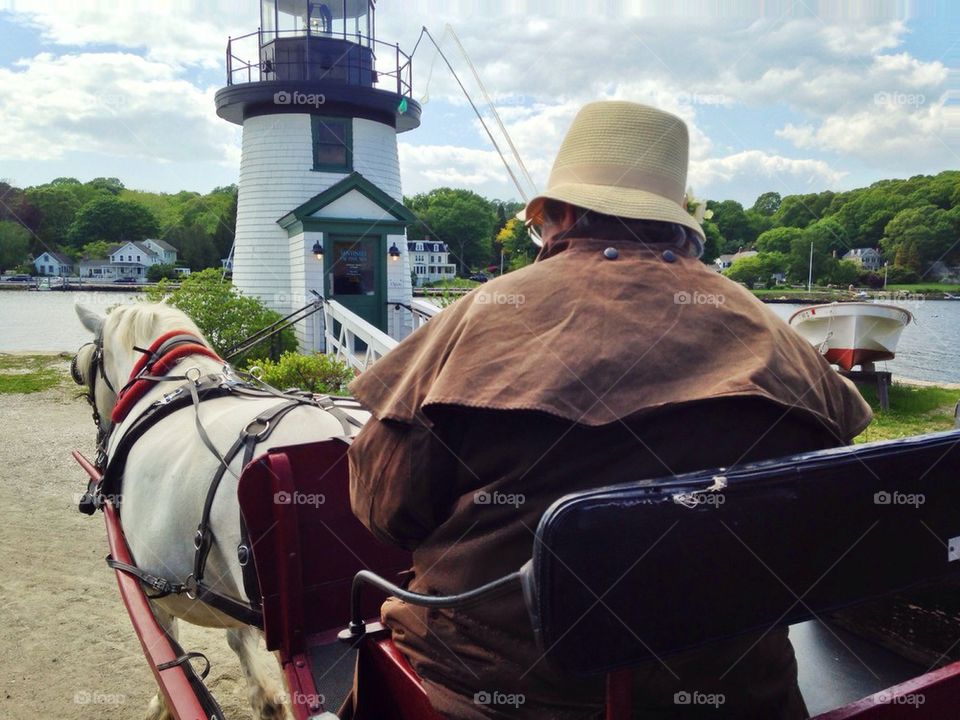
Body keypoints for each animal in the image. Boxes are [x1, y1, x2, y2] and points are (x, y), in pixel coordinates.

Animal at [73, 302, 368, 720]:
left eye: (84, 372)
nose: (89, 495)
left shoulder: (145, 587)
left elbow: (169, 660)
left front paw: (163, 705)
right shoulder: (223, 586)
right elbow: (238, 641)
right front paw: (265, 701)